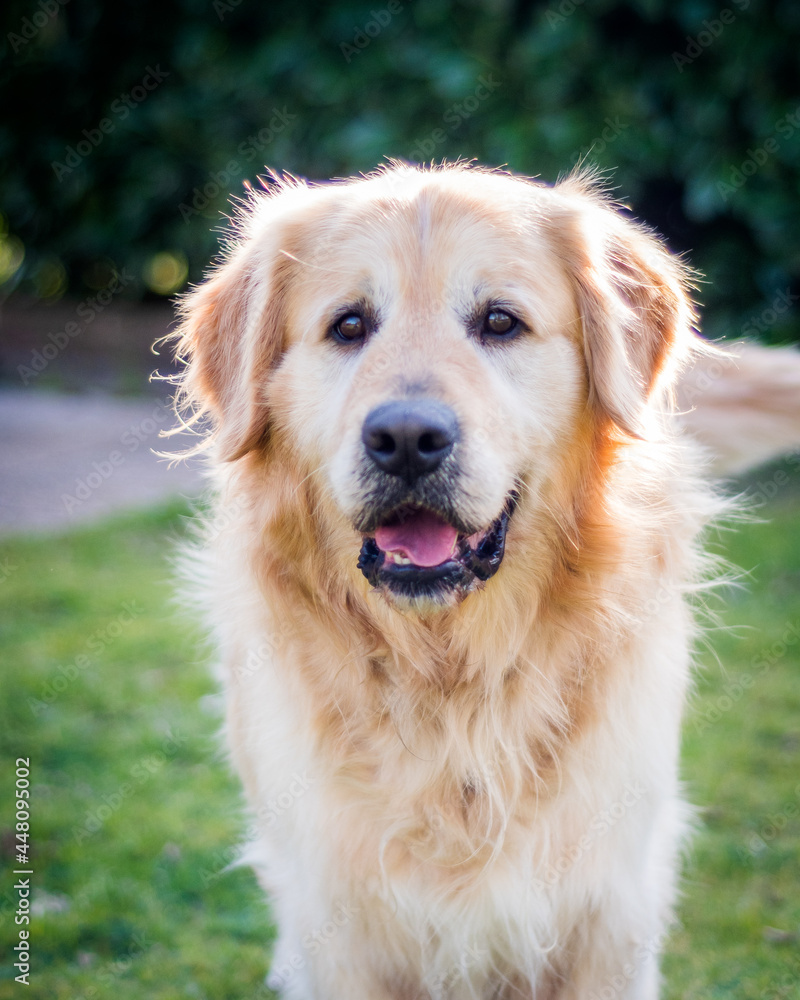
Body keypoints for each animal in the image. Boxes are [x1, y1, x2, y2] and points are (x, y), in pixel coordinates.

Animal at [167, 166, 800, 1000]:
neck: (453, 684)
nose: (407, 439)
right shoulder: (338, 920)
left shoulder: (611, 911)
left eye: (500, 322)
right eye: (348, 325)